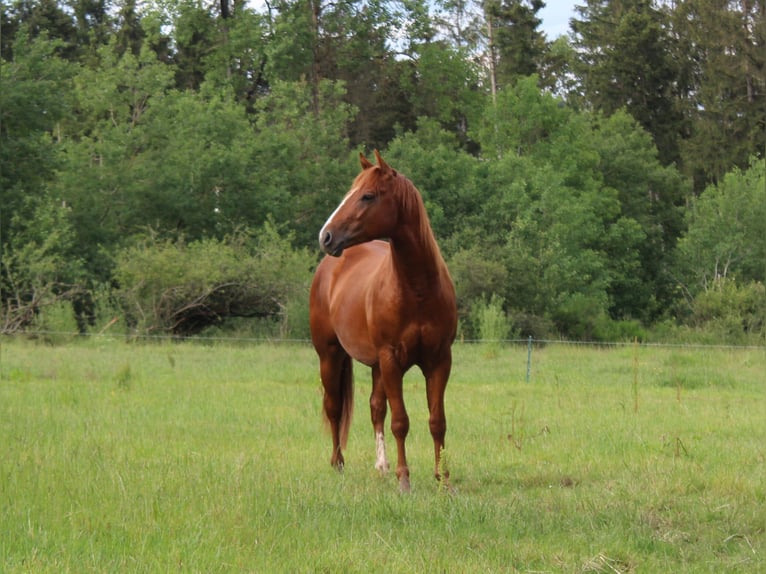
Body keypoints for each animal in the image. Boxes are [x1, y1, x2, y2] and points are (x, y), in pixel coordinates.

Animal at [308, 151, 460, 492]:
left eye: (368, 195)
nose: (326, 236)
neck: (417, 289)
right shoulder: (392, 360)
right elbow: (401, 421)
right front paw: (405, 479)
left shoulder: (439, 360)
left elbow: (437, 421)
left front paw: (443, 479)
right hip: (330, 355)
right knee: (334, 408)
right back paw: (338, 464)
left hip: (376, 365)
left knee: (376, 407)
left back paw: (382, 466)